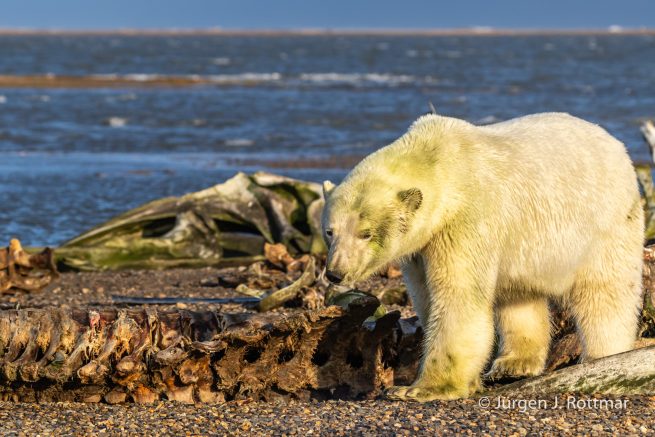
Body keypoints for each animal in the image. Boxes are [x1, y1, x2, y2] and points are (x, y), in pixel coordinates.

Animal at [321, 112, 644, 401]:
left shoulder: (466, 221)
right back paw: (512, 364)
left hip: (605, 223)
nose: (336, 272)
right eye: (329, 231)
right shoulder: (421, 248)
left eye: (365, 233)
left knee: (604, 293)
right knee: (519, 298)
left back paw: (604, 357)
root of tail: (617, 145)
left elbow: (458, 298)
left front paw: (419, 390)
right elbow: (428, 297)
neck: (440, 165)